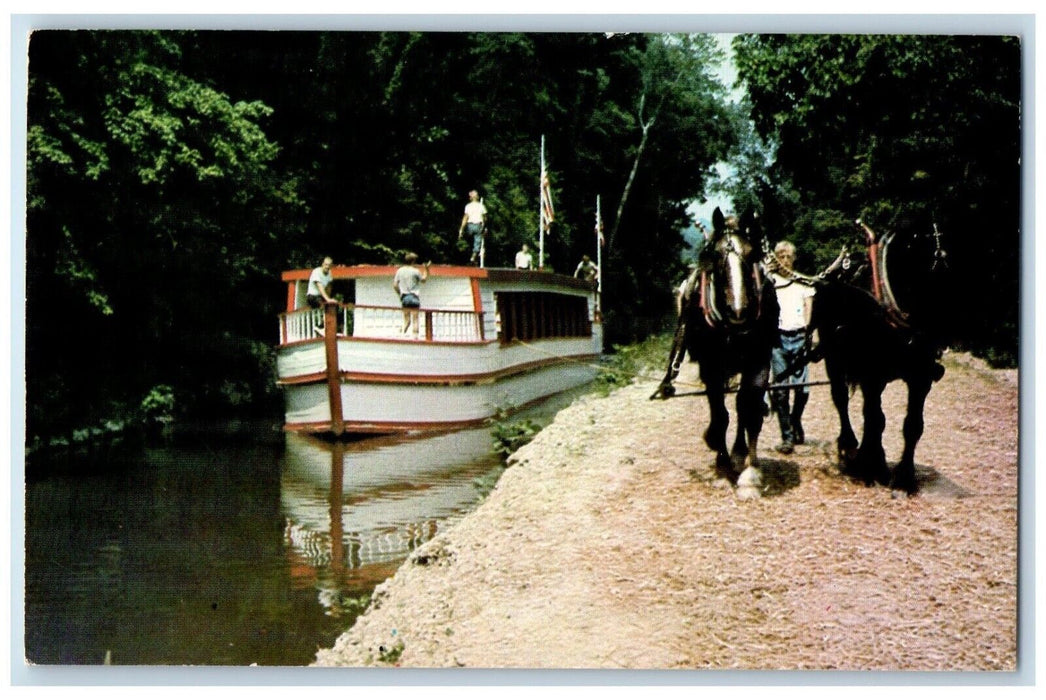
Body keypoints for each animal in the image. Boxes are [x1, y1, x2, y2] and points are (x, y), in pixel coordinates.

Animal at [656, 207, 782, 495]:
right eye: (715, 255)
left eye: (751, 254)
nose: (739, 311)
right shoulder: (711, 367)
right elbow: (720, 415)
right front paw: (720, 452)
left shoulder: (758, 362)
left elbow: (749, 410)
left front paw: (750, 472)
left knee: (741, 404)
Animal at [811, 218, 953, 491]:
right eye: (924, 264)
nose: (934, 335)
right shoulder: (871, 375)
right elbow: (876, 418)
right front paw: (872, 464)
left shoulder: (919, 377)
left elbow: (912, 425)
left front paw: (904, 476)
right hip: (835, 360)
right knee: (841, 399)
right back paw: (850, 445)